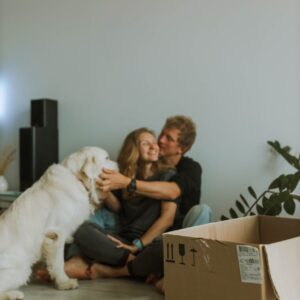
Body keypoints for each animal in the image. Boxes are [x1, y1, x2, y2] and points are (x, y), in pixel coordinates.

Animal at [0, 146, 116, 298]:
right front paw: (64, 283)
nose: (118, 164)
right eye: (107, 158)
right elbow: (58, 263)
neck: (76, 178)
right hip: (22, 268)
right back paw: (14, 294)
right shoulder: (56, 233)